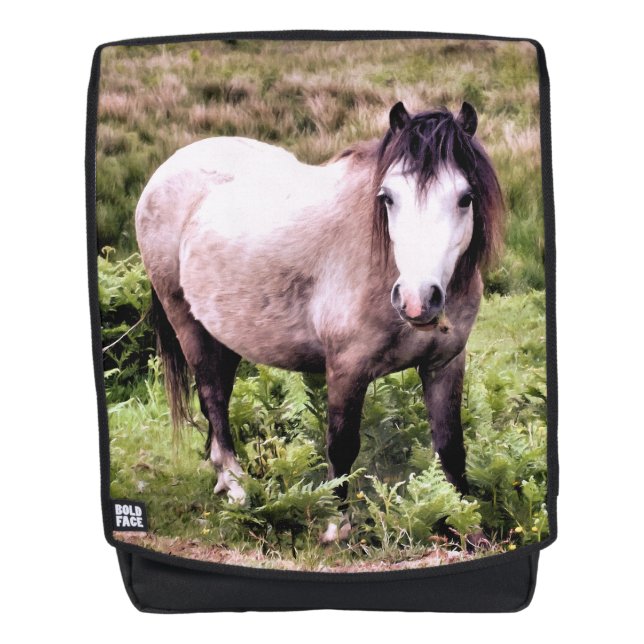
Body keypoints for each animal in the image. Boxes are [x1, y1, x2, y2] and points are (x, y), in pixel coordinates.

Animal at [135, 100, 503, 542]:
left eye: (465, 198)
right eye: (388, 197)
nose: (417, 300)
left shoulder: (445, 364)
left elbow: (450, 446)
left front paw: (468, 525)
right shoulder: (346, 367)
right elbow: (341, 446)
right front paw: (336, 528)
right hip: (187, 324)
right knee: (213, 398)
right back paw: (237, 486)